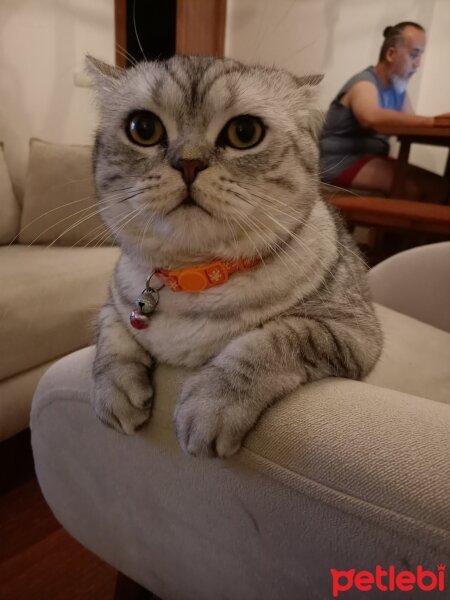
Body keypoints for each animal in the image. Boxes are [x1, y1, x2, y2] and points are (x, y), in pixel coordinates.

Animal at [88, 55, 384, 460]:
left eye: (244, 132)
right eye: (143, 128)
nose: (189, 163)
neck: (193, 279)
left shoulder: (354, 333)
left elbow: (274, 339)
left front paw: (212, 403)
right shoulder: (114, 300)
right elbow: (110, 336)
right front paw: (114, 390)